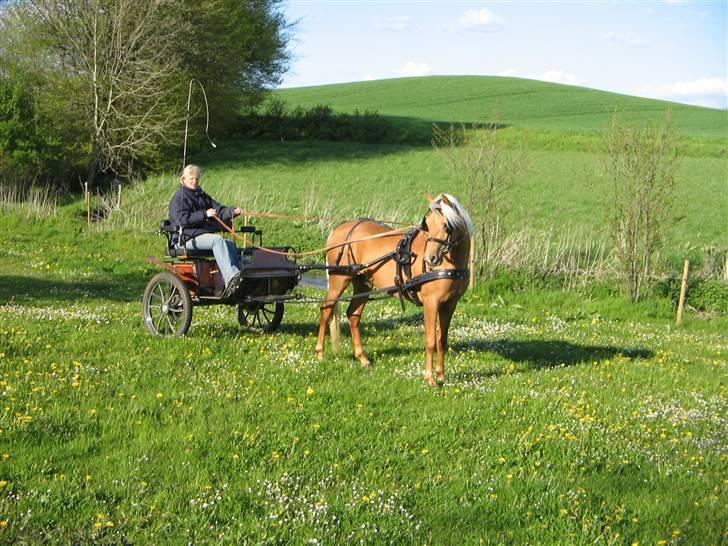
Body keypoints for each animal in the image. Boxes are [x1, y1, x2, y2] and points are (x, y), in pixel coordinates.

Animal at [314, 193, 474, 384]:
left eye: (446, 225)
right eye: (427, 224)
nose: (430, 259)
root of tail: (340, 228)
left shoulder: (450, 304)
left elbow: (442, 340)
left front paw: (441, 375)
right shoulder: (431, 303)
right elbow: (430, 340)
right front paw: (430, 378)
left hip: (362, 284)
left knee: (353, 314)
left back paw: (362, 358)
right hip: (339, 280)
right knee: (326, 309)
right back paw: (320, 352)